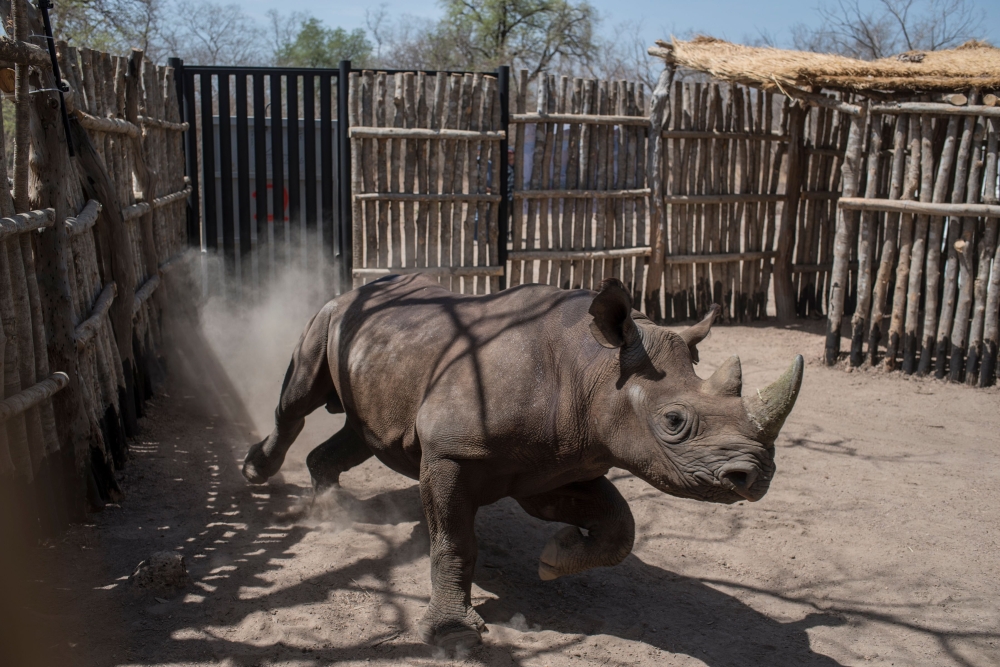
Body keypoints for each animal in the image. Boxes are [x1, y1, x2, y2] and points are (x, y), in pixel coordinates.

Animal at [242, 274, 803, 649]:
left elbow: (620, 526)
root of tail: (350, 289)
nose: (754, 476)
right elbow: (454, 540)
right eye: (673, 421)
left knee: (363, 433)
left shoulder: (559, 463)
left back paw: (334, 510)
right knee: (298, 400)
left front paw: (556, 558)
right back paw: (257, 474)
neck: (595, 369)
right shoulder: (450, 452)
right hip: (328, 318)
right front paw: (453, 636)